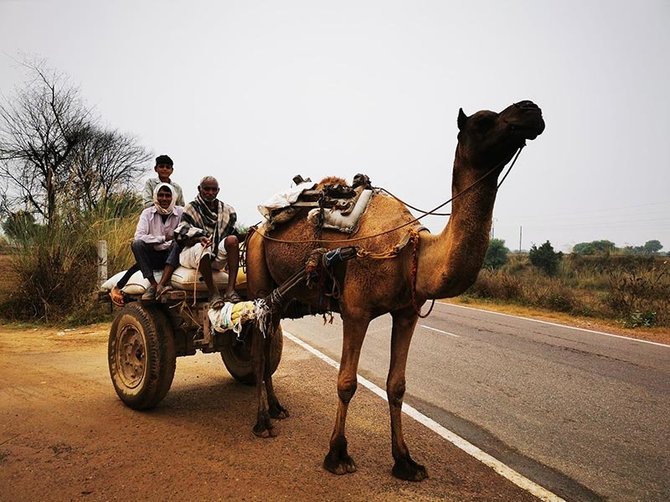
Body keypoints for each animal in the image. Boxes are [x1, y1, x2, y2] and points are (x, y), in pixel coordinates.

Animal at [247, 100, 544, 480]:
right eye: (482, 121)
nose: (531, 110)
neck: (410, 249)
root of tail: (256, 229)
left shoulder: (406, 312)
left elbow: (397, 385)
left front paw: (405, 461)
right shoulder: (356, 311)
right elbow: (347, 382)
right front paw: (337, 455)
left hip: (283, 297)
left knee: (270, 338)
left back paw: (277, 408)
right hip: (258, 277)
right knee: (260, 348)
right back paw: (263, 422)